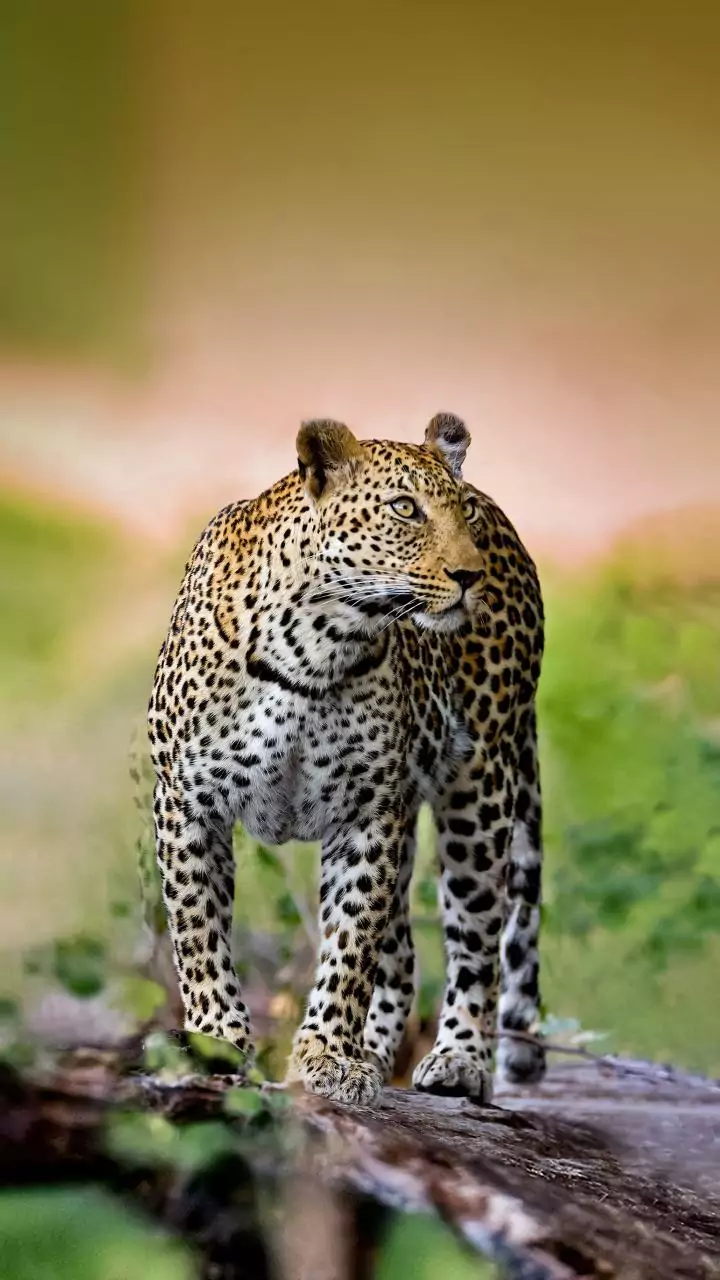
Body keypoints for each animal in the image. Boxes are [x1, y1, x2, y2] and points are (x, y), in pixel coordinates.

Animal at [147, 412, 546, 1105]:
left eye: (461, 511)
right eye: (405, 508)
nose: (471, 576)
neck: (314, 646)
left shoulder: (368, 815)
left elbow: (351, 945)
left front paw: (329, 1055)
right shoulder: (187, 803)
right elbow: (198, 934)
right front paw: (218, 1039)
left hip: (480, 792)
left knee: (477, 940)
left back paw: (458, 1060)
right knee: (405, 958)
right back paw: (380, 1052)